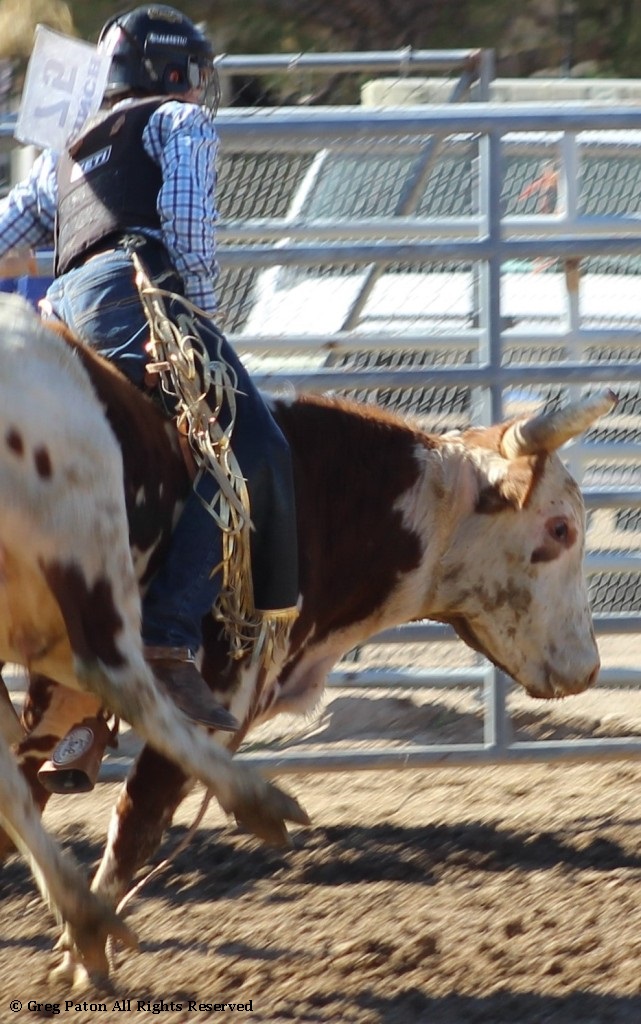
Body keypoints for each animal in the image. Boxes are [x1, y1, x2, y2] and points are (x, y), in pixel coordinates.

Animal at [0, 291, 616, 985]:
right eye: (560, 529)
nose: (589, 667)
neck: (315, 492)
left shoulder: (54, 692)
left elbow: (21, 797)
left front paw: (74, 948)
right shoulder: (222, 695)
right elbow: (138, 820)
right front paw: (85, 963)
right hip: (85, 551)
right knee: (116, 673)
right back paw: (247, 810)